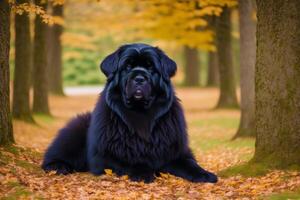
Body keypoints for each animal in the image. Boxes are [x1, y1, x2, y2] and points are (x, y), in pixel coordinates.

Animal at [42, 43, 217, 183]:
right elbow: (130, 161)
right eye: (127, 66)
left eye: (151, 67)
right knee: (53, 155)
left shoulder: (175, 151)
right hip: (75, 130)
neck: (141, 113)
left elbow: (190, 163)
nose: (139, 78)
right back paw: (58, 166)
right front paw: (143, 173)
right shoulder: (106, 156)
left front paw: (204, 174)